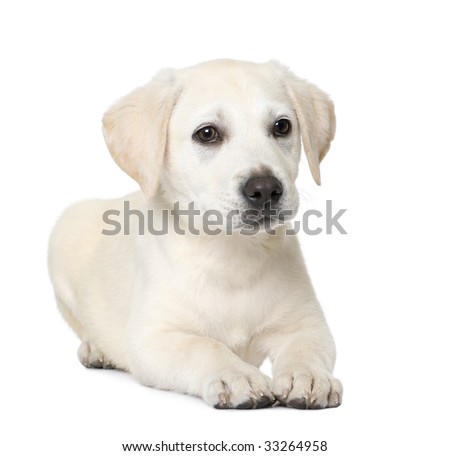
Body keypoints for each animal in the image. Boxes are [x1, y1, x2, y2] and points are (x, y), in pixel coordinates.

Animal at [48, 58, 342, 410]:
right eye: (207, 134)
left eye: (282, 126)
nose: (266, 189)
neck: (232, 253)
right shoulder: (152, 339)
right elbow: (203, 346)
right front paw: (236, 375)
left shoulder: (307, 324)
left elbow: (306, 348)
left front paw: (308, 375)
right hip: (63, 234)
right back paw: (96, 347)